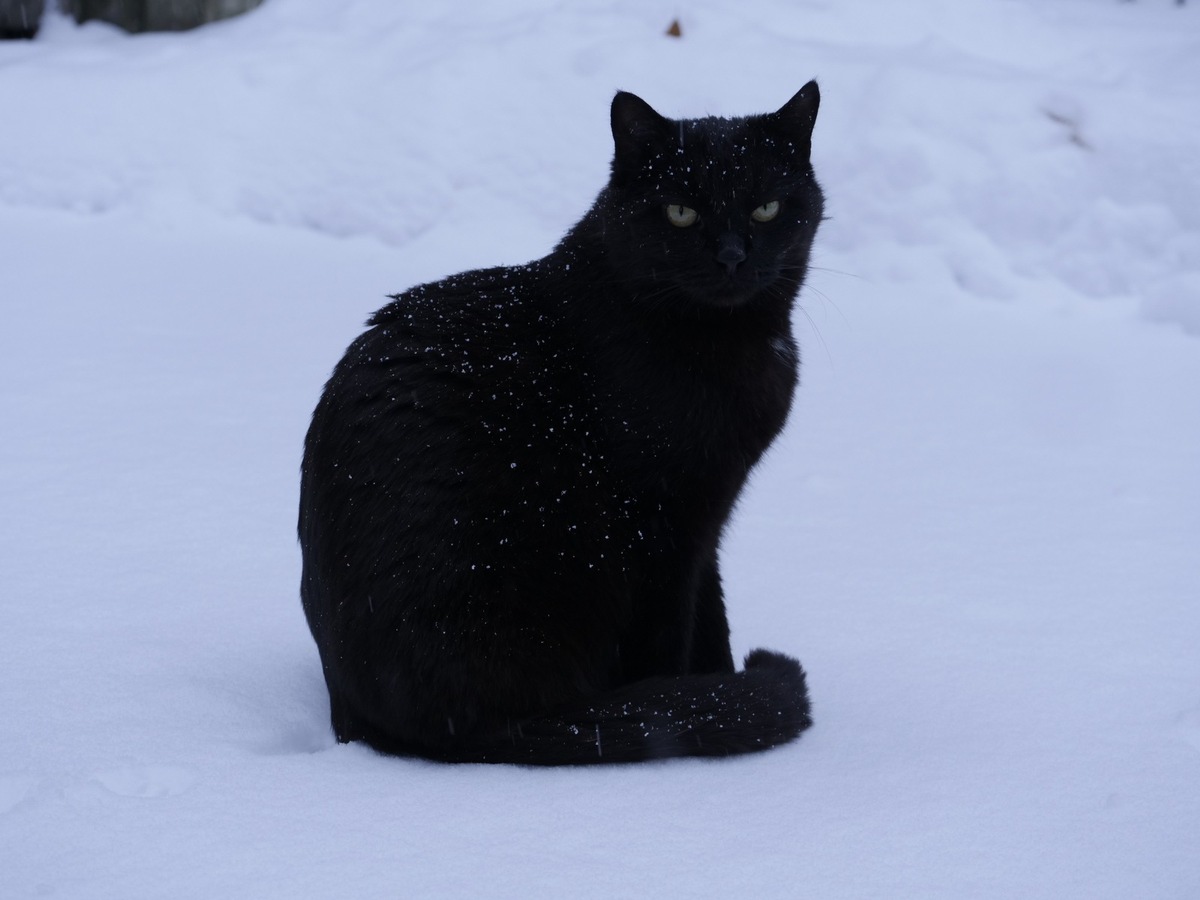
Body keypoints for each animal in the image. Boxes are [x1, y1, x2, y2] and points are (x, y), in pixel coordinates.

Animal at [300, 84, 825, 763]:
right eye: (680, 212)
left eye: (765, 208)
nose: (733, 256)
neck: (726, 344)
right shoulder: (665, 525)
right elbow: (672, 637)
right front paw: (702, 701)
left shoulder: (708, 520)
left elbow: (712, 618)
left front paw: (723, 680)